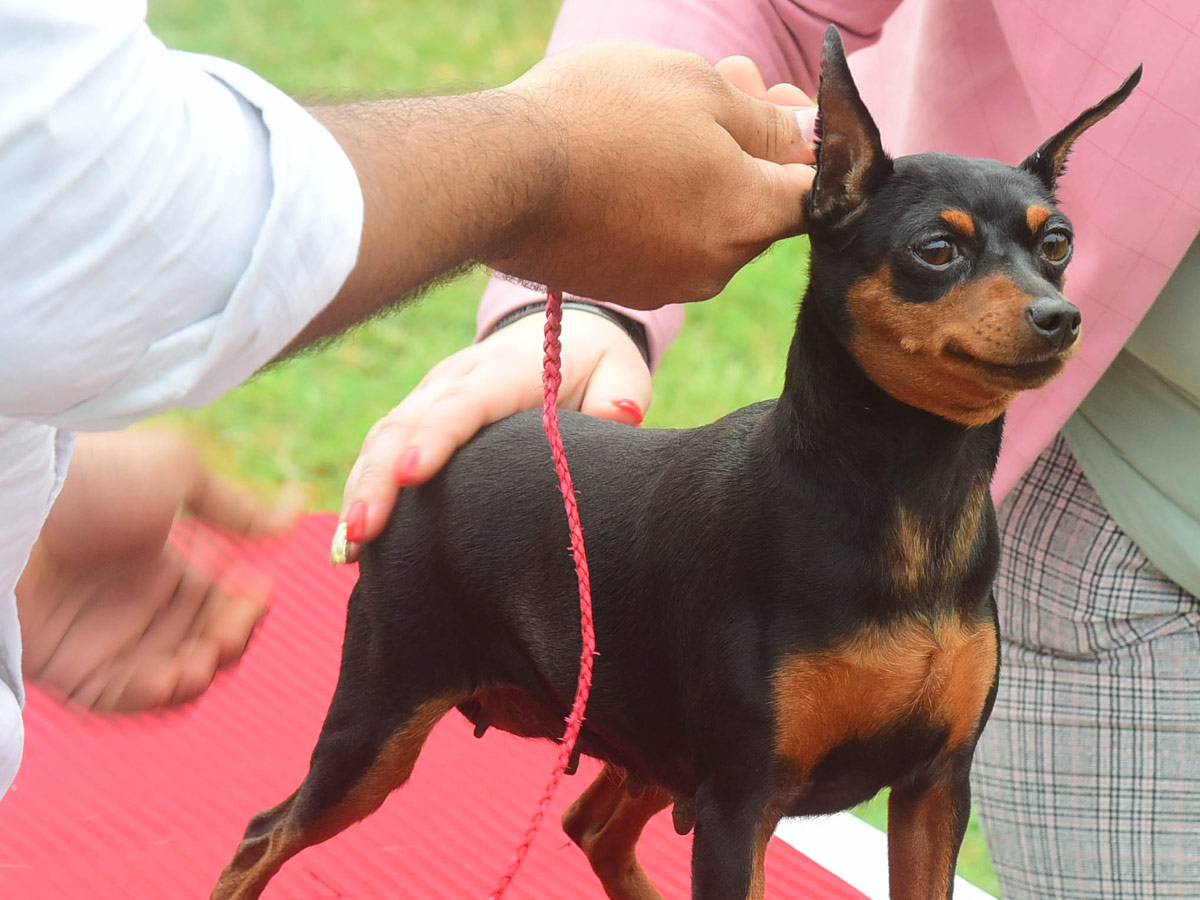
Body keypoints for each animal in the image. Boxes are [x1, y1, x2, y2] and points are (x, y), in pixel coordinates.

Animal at [211, 28, 1137, 900]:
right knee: (263, 835)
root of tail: (446, 454)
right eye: (936, 252)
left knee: (590, 828)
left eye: (1057, 244)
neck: (908, 500)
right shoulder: (742, 802)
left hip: (645, 746)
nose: (1060, 316)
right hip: (382, 724)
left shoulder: (934, 791)